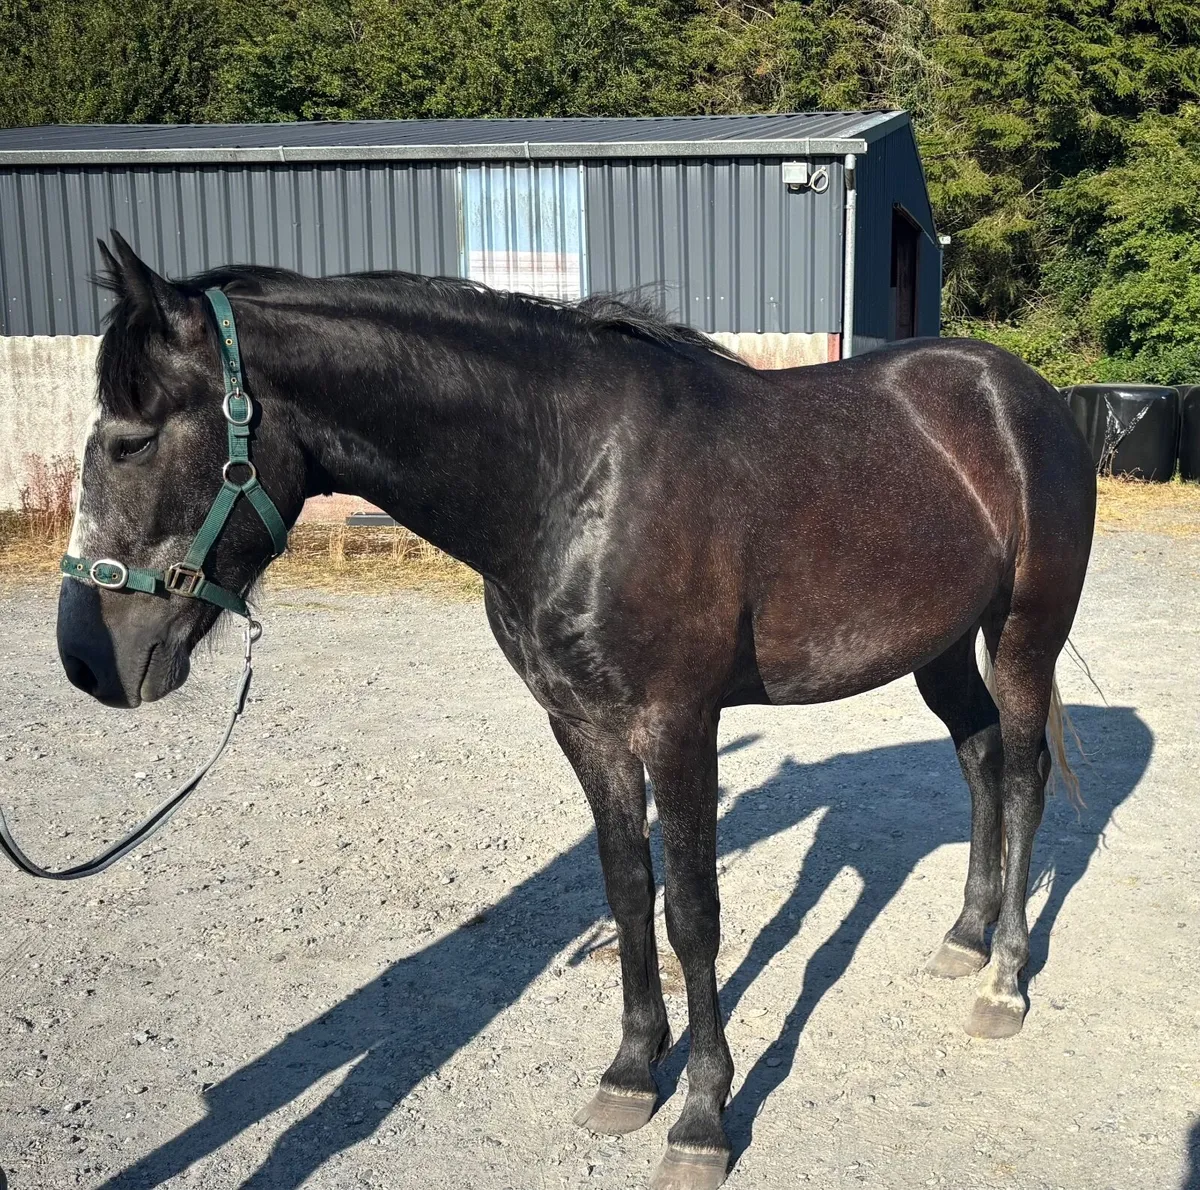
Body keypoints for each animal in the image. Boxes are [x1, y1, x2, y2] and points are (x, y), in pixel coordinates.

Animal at [55, 232, 1095, 1190]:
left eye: (133, 440)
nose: (89, 659)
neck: (573, 476)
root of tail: (1020, 391)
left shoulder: (679, 726)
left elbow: (694, 916)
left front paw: (703, 1120)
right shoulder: (583, 727)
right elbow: (628, 889)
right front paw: (632, 1074)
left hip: (1022, 634)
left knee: (1022, 773)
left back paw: (1005, 979)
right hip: (939, 646)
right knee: (977, 756)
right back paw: (964, 939)